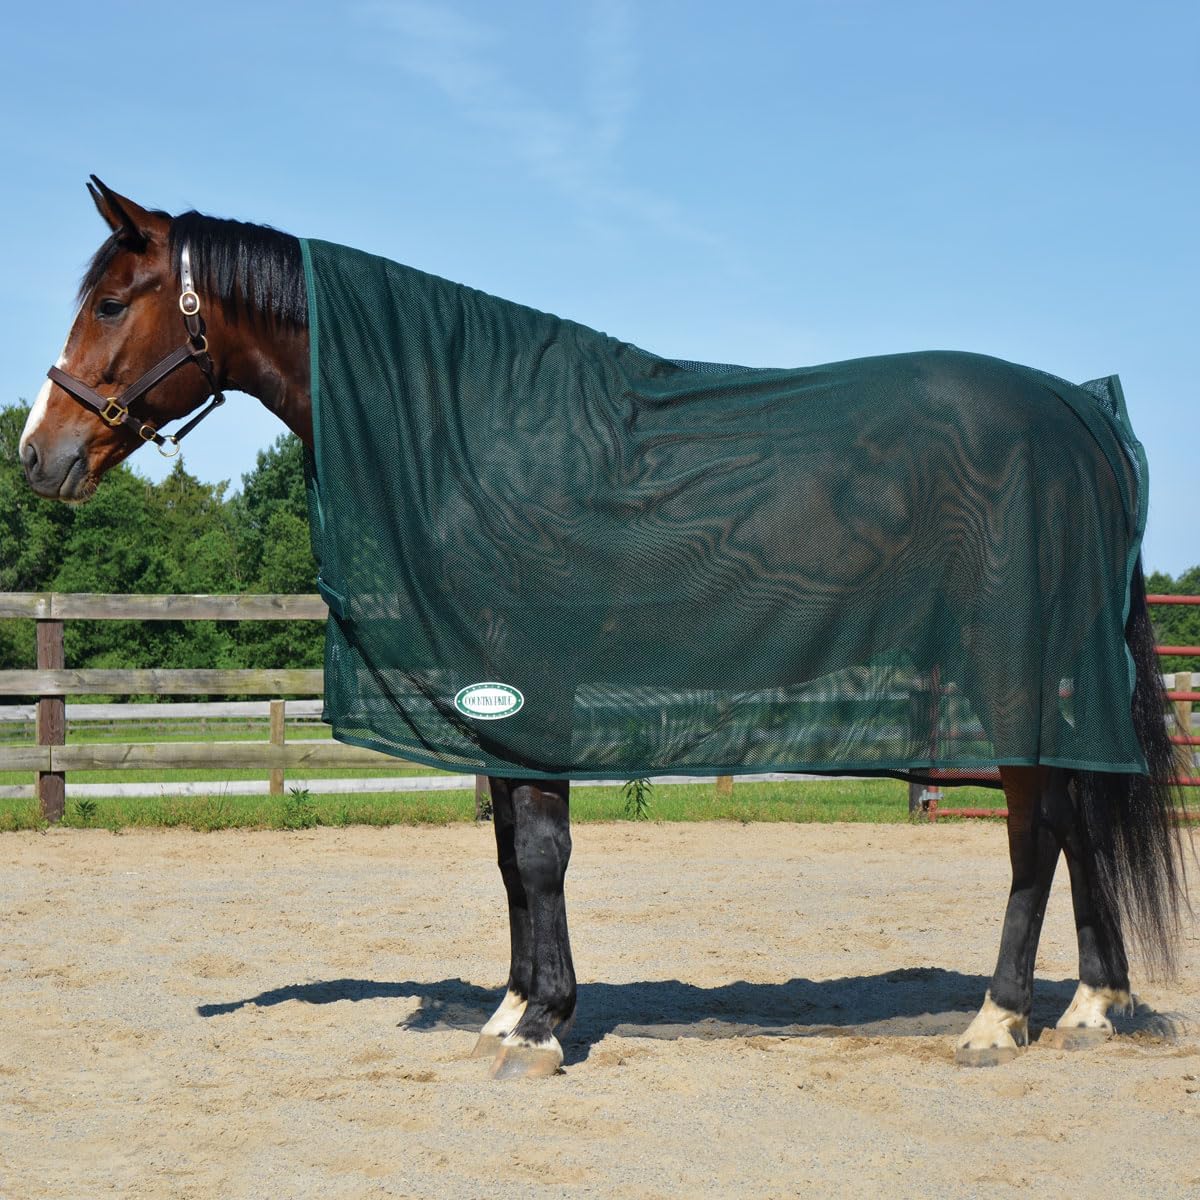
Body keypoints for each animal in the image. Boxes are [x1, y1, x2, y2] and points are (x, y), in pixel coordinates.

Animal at [19, 178, 1188, 1080]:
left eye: (114, 301)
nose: (39, 453)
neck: (463, 434)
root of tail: (1082, 415)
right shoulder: (496, 691)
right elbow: (507, 853)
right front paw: (507, 1009)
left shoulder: (536, 679)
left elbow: (539, 853)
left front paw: (542, 1027)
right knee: (1079, 816)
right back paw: (1094, 1004)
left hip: (1010, 665)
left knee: (1036, 826)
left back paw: (998, 1019)